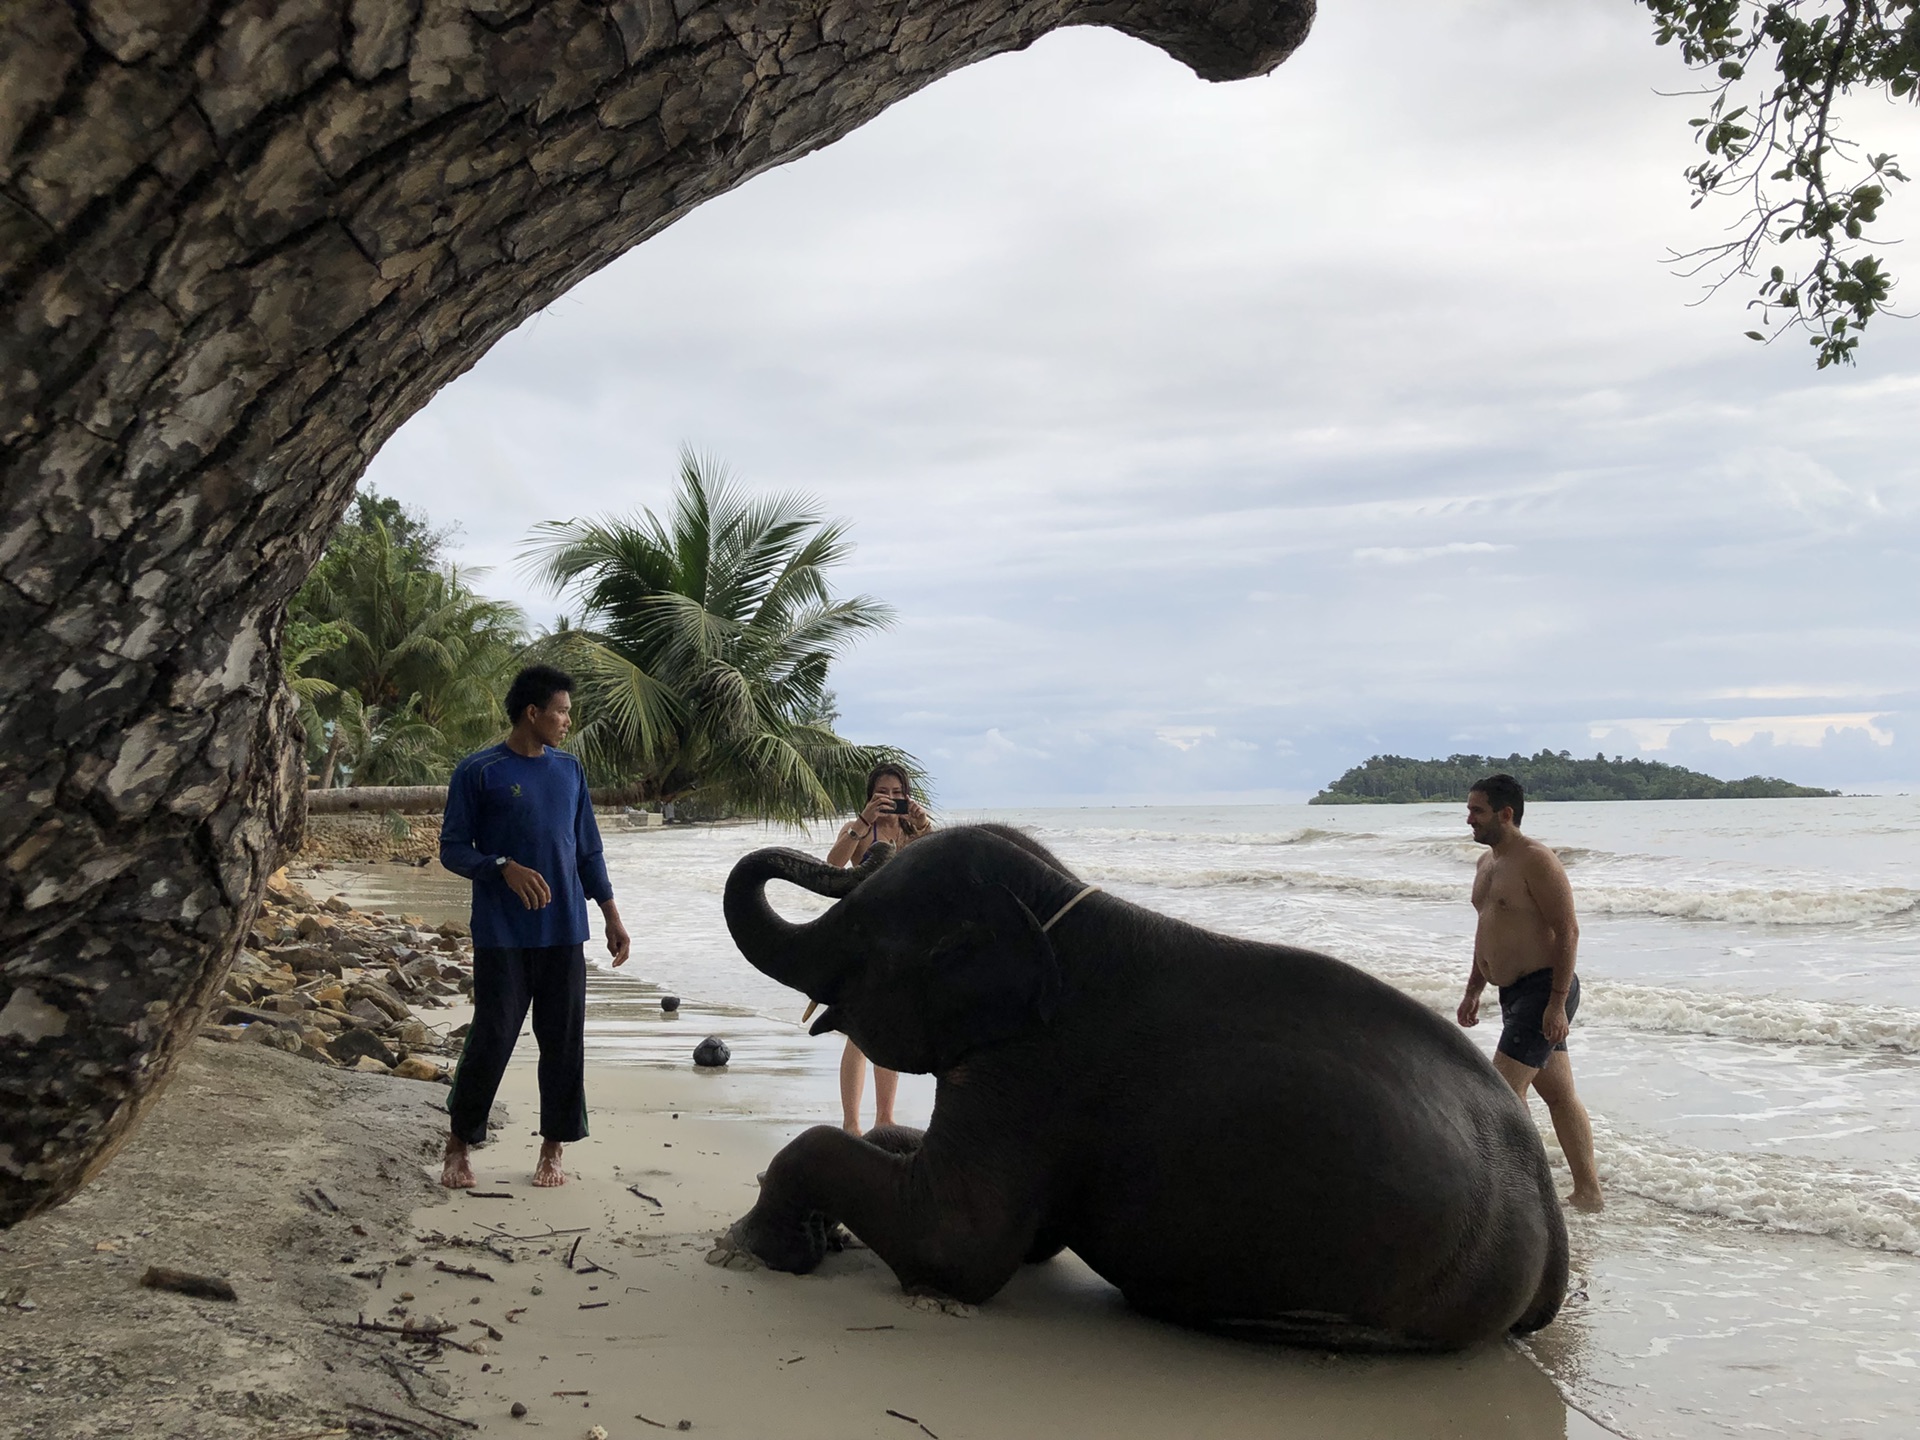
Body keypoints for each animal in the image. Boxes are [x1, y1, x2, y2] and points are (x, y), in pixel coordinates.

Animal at [714, 821, 1566, 1351]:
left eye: (860, 931)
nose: (869, 845)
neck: (1051, 905)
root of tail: (1555, 1228)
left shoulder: (1037, 1071)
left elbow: (955, 1246)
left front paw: (758, 1248)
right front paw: (825, 1234)